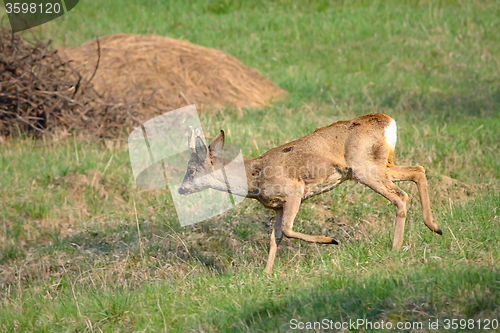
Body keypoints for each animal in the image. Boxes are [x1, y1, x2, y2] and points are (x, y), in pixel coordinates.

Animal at [179, 113, 442, 272]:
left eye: (191, 170)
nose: (181, 189)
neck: (254, 177)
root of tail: (388, 121)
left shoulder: (294, 190)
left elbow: (287, 230)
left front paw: (331, 240)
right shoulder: (278, 206)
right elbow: (275, 237)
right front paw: (267, 272)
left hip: (364, 168)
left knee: (401, 196)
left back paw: (396, 247)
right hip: (381, 164)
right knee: (418, 170)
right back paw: (435, 226)